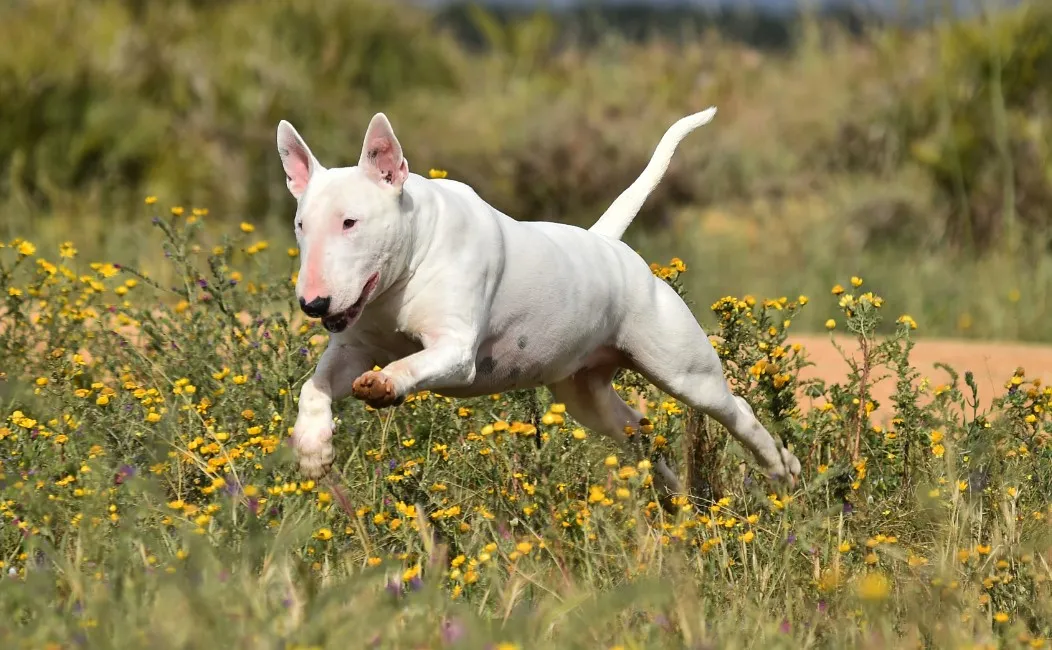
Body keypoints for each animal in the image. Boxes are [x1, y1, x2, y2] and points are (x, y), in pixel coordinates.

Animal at [277, 108, 795, 498]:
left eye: (350, 222)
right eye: (301, 224)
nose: (313, 304)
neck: (403, 269)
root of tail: (607, 243)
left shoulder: (456, 350)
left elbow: (411, 364)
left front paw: (384, 383)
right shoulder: (354, 347)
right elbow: (315, 386)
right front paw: (313, 448)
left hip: (684, 371)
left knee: (735, 409)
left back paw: (782, 468)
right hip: (585, 395)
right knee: (637, 430)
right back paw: (674, 497)